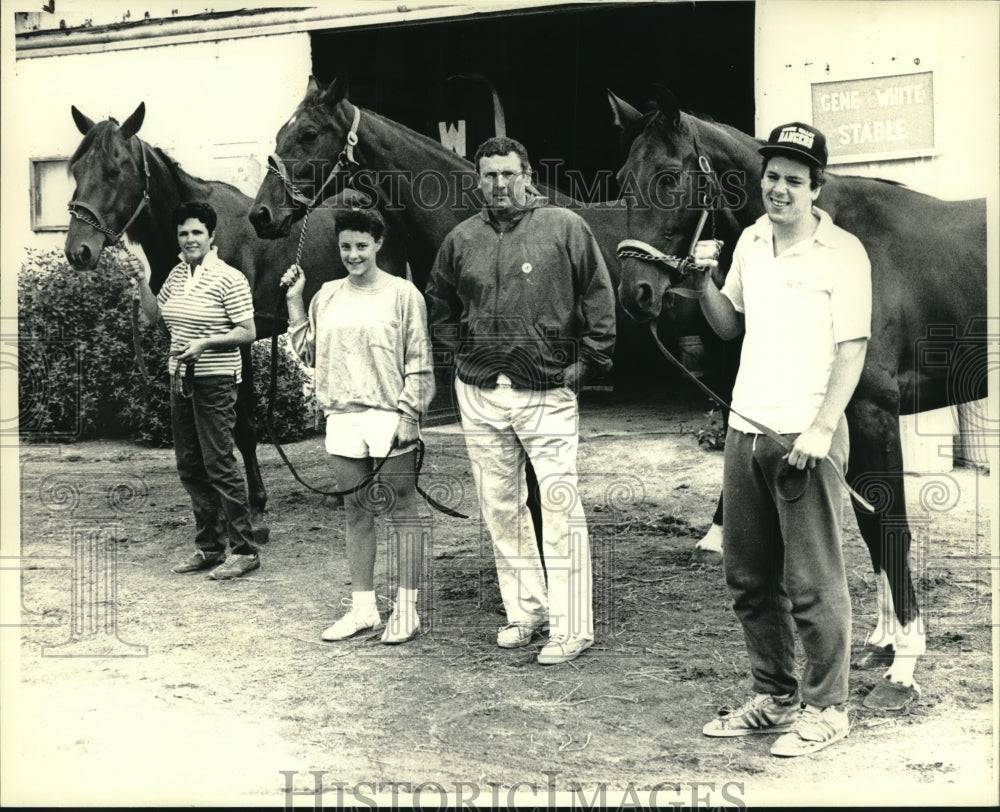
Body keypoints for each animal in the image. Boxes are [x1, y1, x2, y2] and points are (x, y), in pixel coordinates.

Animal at [65, 104, 406, 544]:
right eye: (76, 169)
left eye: (114, 170)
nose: (78, 251)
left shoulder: (237, 340)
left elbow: (241, 426)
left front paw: (254, 509)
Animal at [604, 89, 988, 708]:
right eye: (622, 179)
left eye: (668, 177)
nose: (636, 295)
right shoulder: (845, 422)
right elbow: (871, 527)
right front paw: (882, 641)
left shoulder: (873, 413)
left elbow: (892, 526)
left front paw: (904, 665)